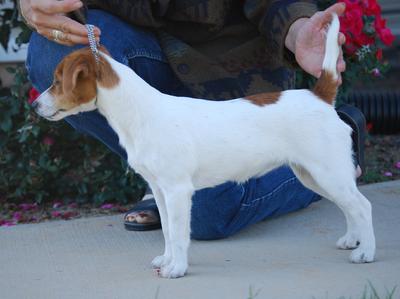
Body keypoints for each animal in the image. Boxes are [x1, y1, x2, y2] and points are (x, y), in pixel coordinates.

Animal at [33, 14, 376, 278]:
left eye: (57, 81)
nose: (34, 105)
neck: (140, 112)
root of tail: (320, 97)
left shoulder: (178, 191)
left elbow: (179, 233)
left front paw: (177, 268)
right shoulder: (159, 190)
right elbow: (167, 230)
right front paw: (167, 260)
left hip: (327, 171)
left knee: (362, 205)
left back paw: (366, 253)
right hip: (312, 175)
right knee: (349, 206)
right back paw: (352, 240)